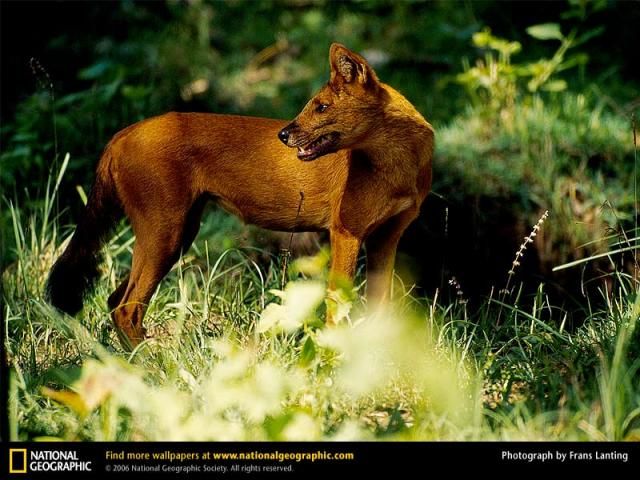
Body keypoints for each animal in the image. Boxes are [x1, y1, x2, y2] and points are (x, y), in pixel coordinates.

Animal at [46, 44, 436, 348]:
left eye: (322, 107)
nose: (283, 134)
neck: (398, 167)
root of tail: (123, 132)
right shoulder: (346, 232)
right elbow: (336, 303)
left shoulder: (386, 237)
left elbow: (381, 307)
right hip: (165, 235)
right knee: (127, 305)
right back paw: (153, 365)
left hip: (177, 234)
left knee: (116, 300)